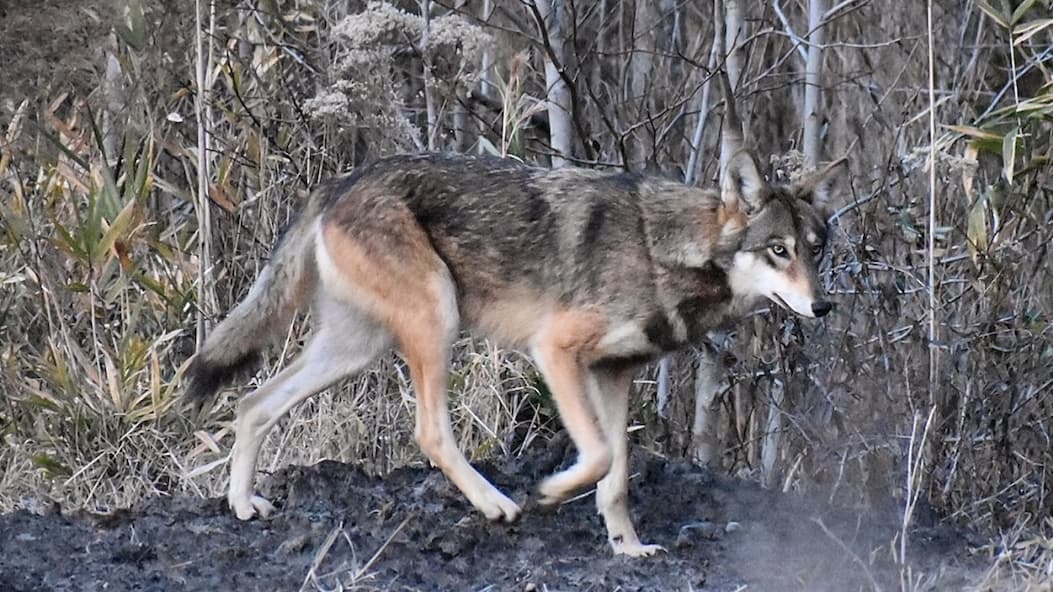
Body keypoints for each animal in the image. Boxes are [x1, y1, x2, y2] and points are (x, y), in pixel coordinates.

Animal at [185, 93, 846, 557]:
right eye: (779, 251)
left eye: (816, 250)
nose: (823, 308)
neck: (665, 252)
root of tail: (340, 182)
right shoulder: (555, 351)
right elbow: (599, 456)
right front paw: (551, 492)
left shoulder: (614, 375)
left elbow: (618, 475)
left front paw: (628, 548)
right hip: (436, 322)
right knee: (429, 432)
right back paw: (497, 505)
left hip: (355, 349)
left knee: (252, 404)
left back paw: (242, 505)